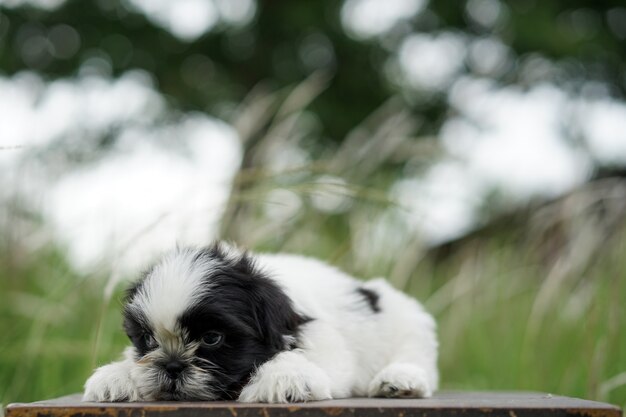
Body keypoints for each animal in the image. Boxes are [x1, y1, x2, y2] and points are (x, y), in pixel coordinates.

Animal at [80, 242, 436, 402]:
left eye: (212, 338)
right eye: (149, 340)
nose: (172, 365)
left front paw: (285, 378)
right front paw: (118, 376)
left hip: (407, 320)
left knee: (416, 356)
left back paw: (399, 380)